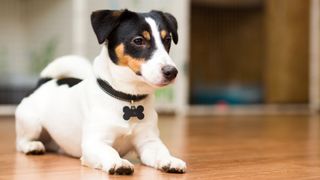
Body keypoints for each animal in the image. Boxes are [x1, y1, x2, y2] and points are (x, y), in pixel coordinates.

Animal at [15, 9, 188, 175]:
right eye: (138, 40)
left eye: (167, 40)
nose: (172, 72)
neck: (128, 99)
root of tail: (44, 81)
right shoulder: (94, 143)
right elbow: (109, 151)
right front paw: (119, 162)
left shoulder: (149, 142)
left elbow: (161, 152)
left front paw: (170, 160)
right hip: (32, 124)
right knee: (21, 143)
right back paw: (32, 146)